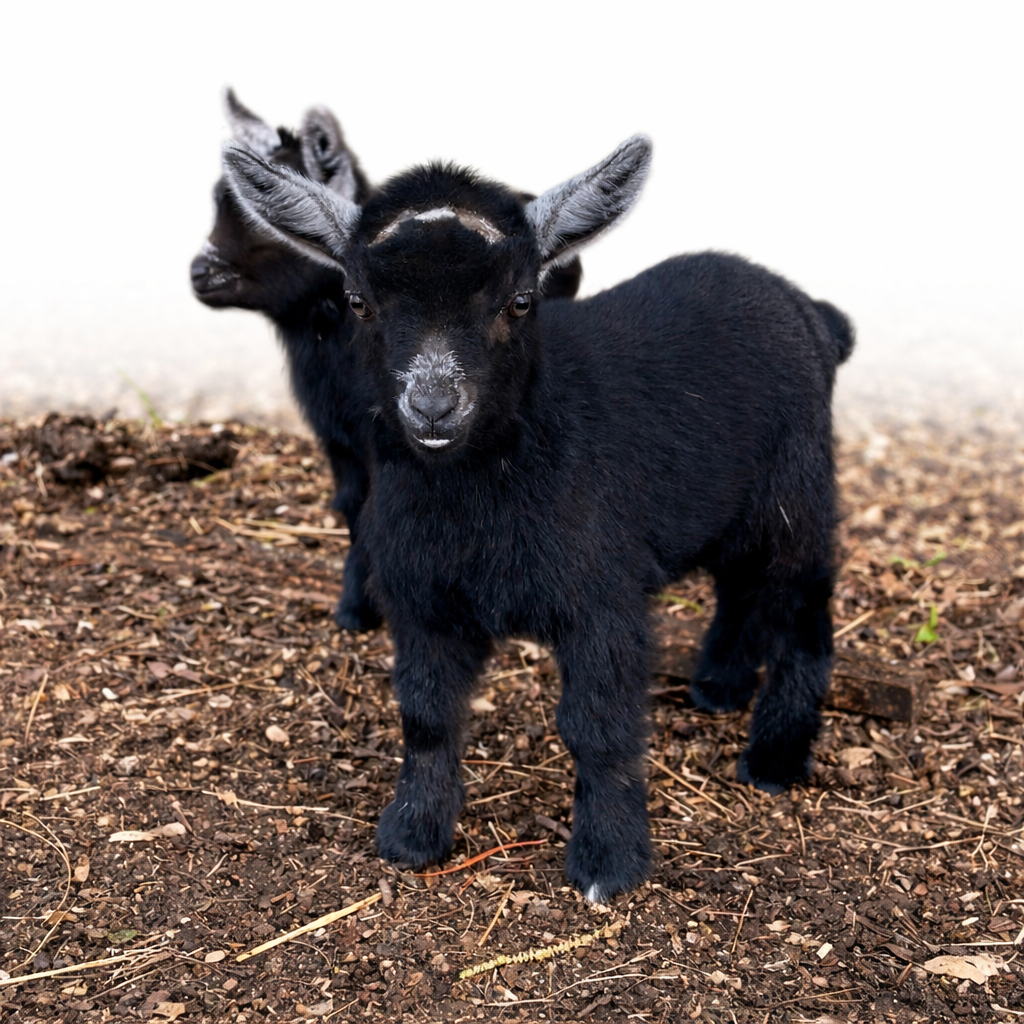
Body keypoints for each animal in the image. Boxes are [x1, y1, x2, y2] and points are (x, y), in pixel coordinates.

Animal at [222, 134, 854, 902]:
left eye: (521, 300)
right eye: (358, 301)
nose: (434, 407)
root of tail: (811, 311)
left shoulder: (602, 599)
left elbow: (599, 728)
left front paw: (609, 863)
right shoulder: (421, 601)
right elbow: (426, 716)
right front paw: (412, 836)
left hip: (798, 488)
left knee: (804, 610)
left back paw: (775, 758)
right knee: (739, 586)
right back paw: (719, 686)